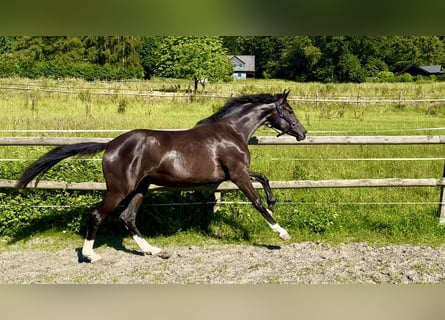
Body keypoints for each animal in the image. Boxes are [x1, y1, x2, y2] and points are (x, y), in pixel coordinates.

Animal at [16, 90, 306, 262]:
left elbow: (264, 178)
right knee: (99, 214)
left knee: (127, 217)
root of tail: (110, 145)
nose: (302, 133)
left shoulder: (235, 173)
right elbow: (256, 202)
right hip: (120, 189)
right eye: (290, 111)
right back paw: (90, 255)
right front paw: (282, 233)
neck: (231, 132)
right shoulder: (237, 174)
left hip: (141, 187)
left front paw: (273, 201)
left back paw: (153, 250)